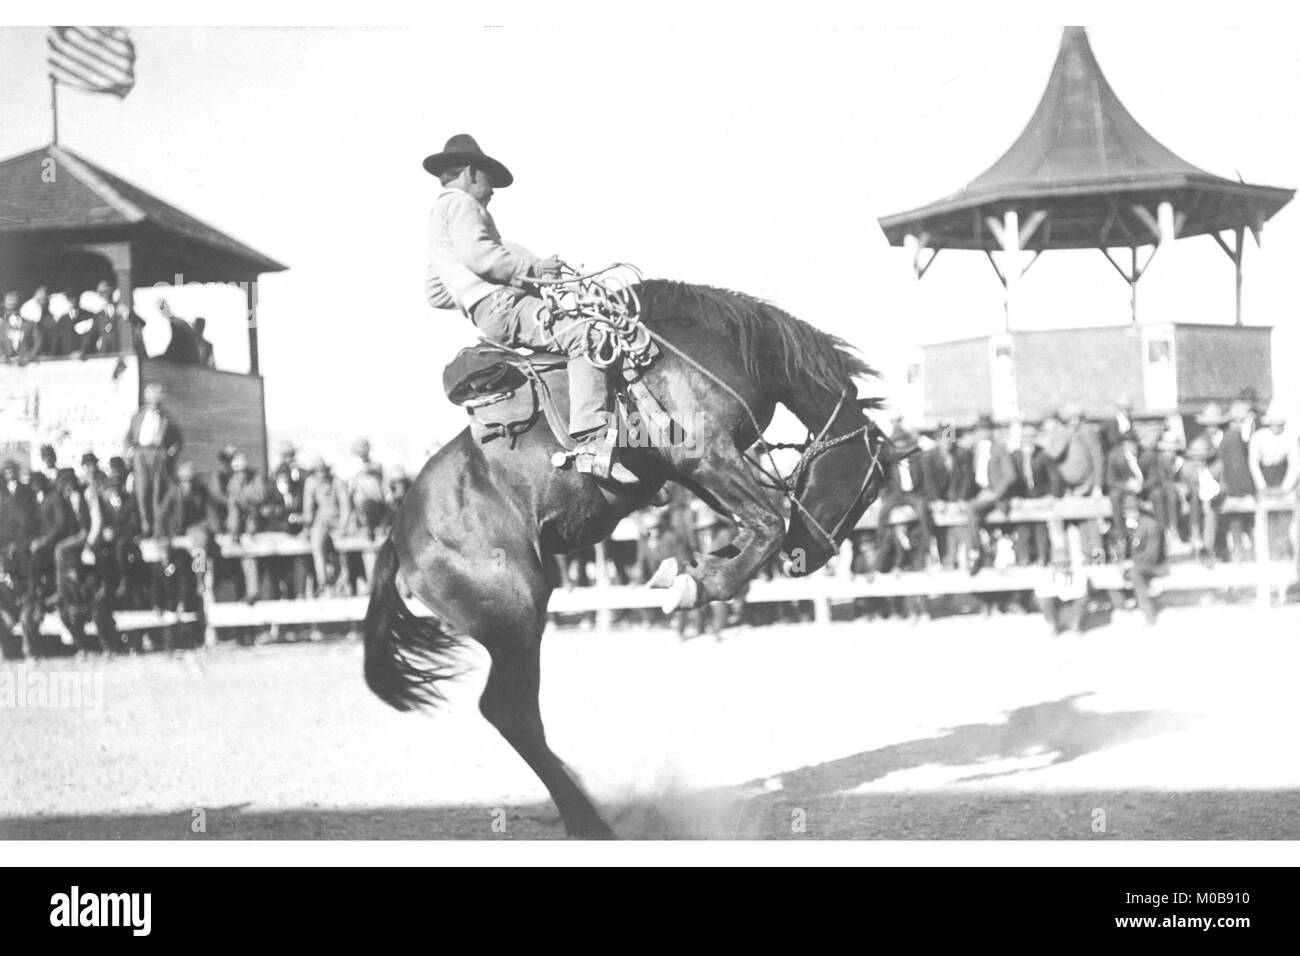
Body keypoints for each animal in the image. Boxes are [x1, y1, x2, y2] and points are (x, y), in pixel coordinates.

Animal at [364, 280, 894, 842]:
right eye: (871, 489)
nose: (809, 558)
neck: (719, 345)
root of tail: (400, 534)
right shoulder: (704, 454)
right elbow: (769, 523)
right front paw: (697, 585)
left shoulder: (689, 472)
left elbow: (750, 526)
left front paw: (690, 571)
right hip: (515, 620)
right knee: (511, 712)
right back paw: (588, 820)